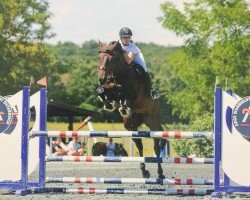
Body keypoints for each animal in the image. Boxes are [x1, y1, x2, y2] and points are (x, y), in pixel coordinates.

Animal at [95, 40, 170, 178]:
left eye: (110, 59)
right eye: (99, 57)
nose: (101, 79)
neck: (119, 74)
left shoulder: (132, 93)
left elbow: (126, 96)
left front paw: (123, 107)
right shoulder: (110, 87)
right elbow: (103, 92)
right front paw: (108, 104)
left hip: (151, 120)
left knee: (156, 144)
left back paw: (160, 173)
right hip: (131, 125)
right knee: (139, 144)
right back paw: (144, 171)